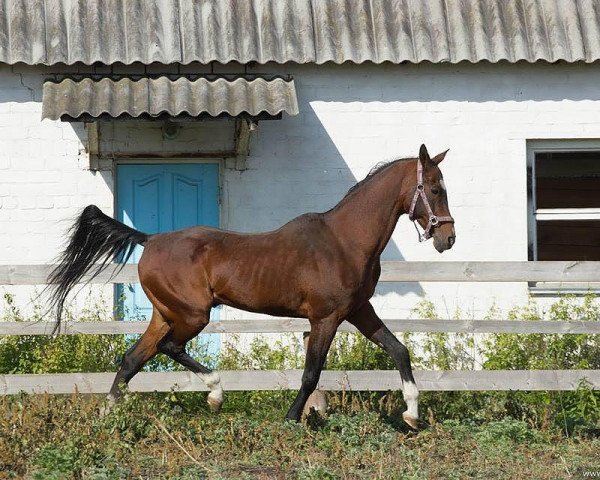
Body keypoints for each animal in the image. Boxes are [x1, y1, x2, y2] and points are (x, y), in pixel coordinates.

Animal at [45, 143, 454, 428]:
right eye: (435, 189)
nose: (447, 239)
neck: (345, 241)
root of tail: (151, 240)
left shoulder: (358, 310)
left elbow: (399, 350)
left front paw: (412, 416)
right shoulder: (326, 318)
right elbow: (311, 373)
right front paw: (291, 418)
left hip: (164, 313)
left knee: (132, 359)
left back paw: (107, 417)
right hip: (192, 315)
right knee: (168, 347)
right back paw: (215, 394)